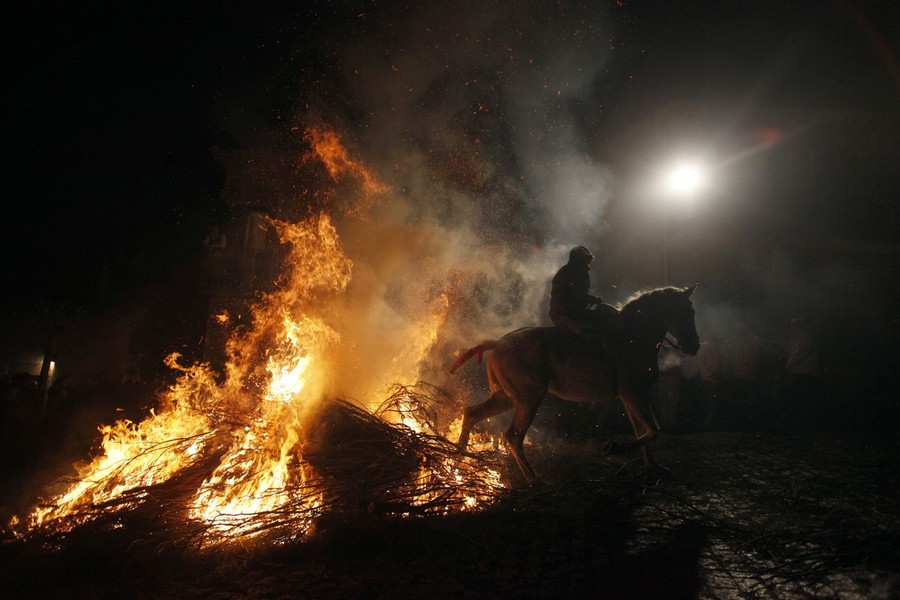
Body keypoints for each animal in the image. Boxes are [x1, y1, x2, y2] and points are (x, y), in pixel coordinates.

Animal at [449, 285, 700, 485]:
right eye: (688, 312)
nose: (694, 347)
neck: (634, 337)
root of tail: (498, 343)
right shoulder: (634, 395)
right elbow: (652, 430)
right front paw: (615, 448)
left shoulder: (631, 398)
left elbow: (644, 432)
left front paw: (652, 466)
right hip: (528, 400)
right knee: (513, 436)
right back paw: (534, 481)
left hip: (506, 398)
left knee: (471, 414)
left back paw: (457, 460)